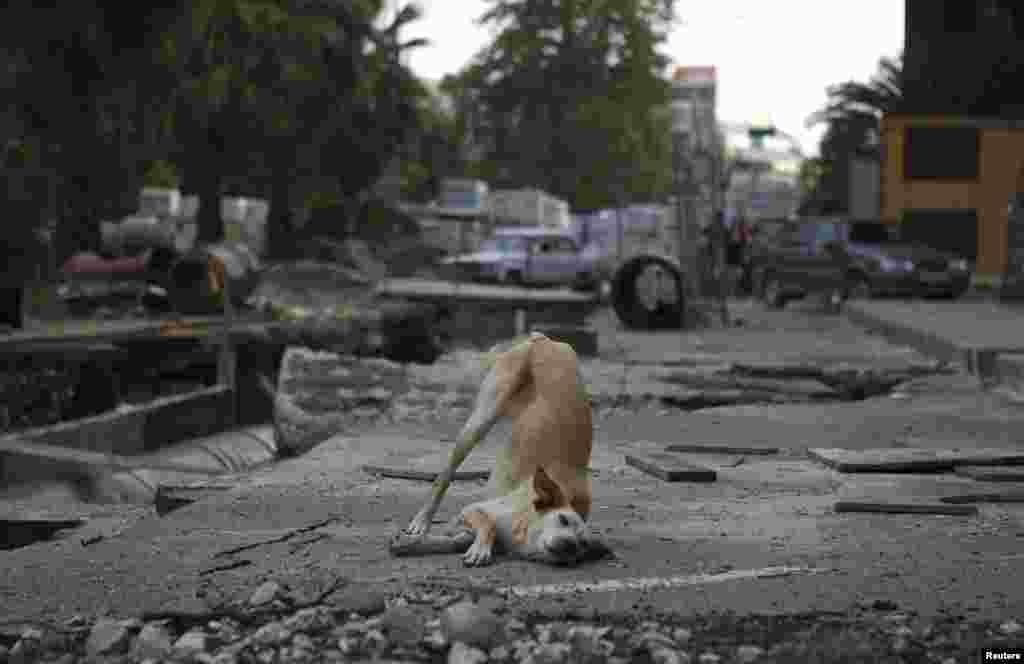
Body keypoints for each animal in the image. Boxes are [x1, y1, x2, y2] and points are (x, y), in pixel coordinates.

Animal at [401, 332, 598, 565]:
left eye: (583, 544)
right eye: (563, 519)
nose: (570, 545)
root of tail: (544, 340)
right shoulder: (473, 510)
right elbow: (487, 523)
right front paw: (480, 549)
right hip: (480, 420)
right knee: (444, 477)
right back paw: (422, 521)